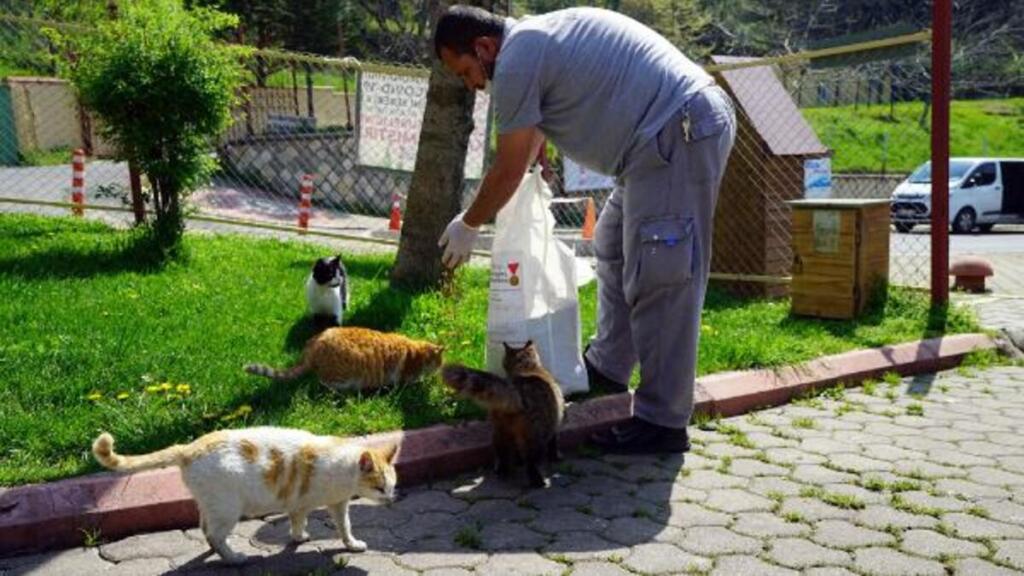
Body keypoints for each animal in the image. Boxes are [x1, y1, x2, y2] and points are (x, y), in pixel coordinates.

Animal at [246, 325, 444, 391]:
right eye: (440, 363)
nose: (440, 369)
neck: (416, 352)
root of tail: (314, 344)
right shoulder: (404, 378)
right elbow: (411, 382)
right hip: (343, 375)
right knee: (323, 383)